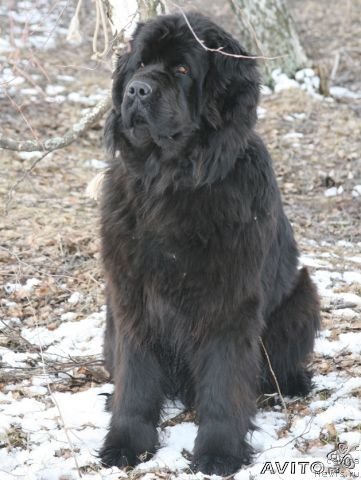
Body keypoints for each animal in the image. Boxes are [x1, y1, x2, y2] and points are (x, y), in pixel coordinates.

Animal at [97, 11, 318, 476]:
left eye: (182, 69)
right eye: (141, 64)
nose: (136, 89)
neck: (172, 181)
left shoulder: (228, 302)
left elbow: (223, 381)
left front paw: (219, 452)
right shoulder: (131, 298)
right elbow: (136, 377)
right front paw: (125, 442)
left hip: (304, 295)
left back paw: (292, 382)